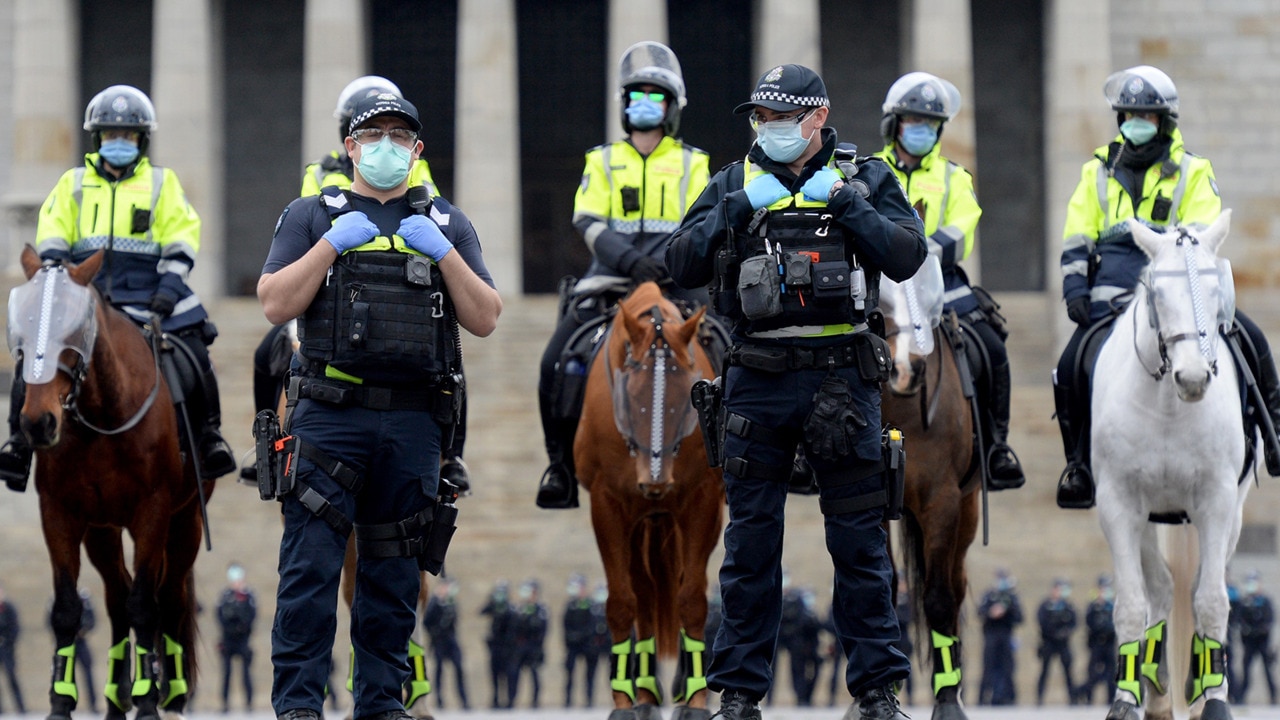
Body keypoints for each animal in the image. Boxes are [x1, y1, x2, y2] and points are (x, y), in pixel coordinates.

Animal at [11, 243, 209, 712]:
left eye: (73, 325)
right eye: (23, 320)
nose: (38, 423)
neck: (100, 419)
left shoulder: (153, 512)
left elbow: (145, 607)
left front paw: (149, 701)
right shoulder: (60, 515)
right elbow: (68, 609)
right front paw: (60, 702)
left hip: (185, 521)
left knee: (168, 596)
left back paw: (170, 692)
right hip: (101, 531)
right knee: (117, 598)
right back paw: (117, 698)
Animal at [576, 281, 727, 717]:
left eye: (689, 395)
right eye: (630, 394)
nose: (655, 483)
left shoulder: (701, 501)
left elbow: (691, 598)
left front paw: (695, 698)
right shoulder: (607, 504)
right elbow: (621, 601)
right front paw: (623, 700)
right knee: (642, 594)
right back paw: (643, 692)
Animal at [1090, 210, 1249, 717]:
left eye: (1218, 290)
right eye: (1157, 293)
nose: (1194, 378)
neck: (1167, 407)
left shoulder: (1218, 500)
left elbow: (1212, 600)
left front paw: (1215, 697)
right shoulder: (1118, 503)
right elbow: (1131, 602)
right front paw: (1125, 698)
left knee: (1197, 586)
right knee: (1159, 586)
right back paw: (1155, 686)